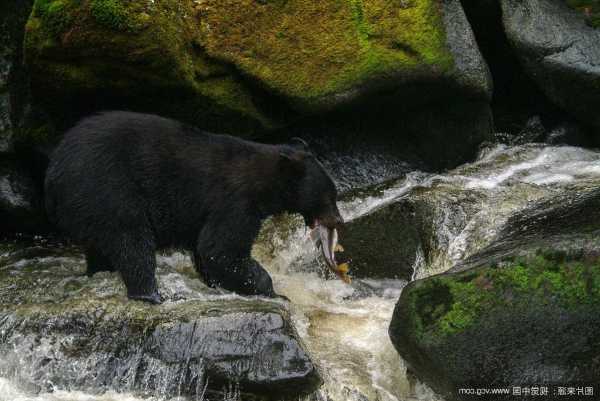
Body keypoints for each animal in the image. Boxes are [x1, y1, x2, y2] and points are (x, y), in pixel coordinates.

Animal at [46, 111, 342, 302]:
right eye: (331, 195)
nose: (338, 220)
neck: (263, 183)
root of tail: (54, 172)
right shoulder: (234, 202)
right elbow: (220, 249)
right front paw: (274, 291)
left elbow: (206, 251)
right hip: (108, 188)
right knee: (131, 240)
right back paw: (151, 294)